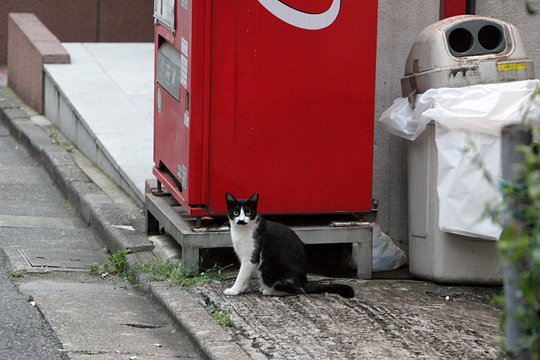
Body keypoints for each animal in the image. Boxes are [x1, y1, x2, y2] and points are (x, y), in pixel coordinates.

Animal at [224, 194, 354, 298]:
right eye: (235, 212)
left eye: (248, 212)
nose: (241, 220)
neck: (242, 231)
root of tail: (304, 281)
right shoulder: (244, 257)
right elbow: (246, 275)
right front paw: (242, 289)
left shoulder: (252, 256)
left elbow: (241, 275)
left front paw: (234, 290)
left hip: (272, 270)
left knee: (297, 290)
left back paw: (269, 291)